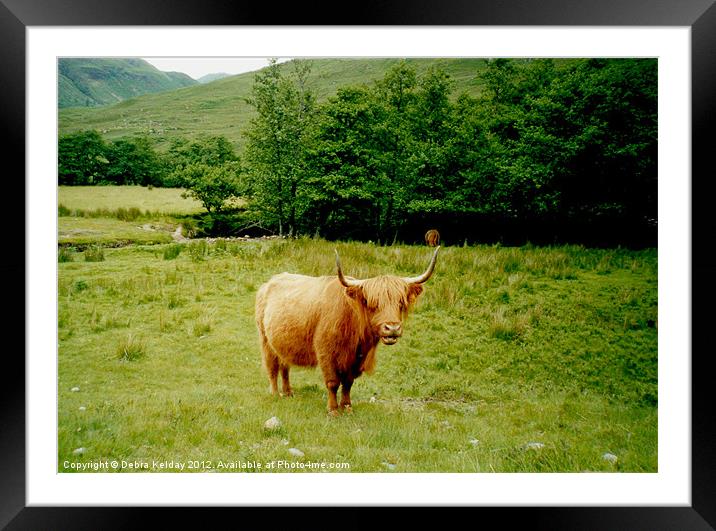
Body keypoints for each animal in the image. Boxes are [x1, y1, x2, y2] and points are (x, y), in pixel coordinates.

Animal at [255, 249, 440, 416]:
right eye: (372, 303)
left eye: (400, 303)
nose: (392, 328)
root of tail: (270, 281)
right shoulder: (326, 353)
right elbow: (333, 382)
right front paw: (333, 410)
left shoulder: (356, 358)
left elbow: (348, 383)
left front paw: (347, 407)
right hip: (265, 340)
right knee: (272, 367)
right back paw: (275, 394)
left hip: (282, 343)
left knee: (284, 367)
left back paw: (288, 392)